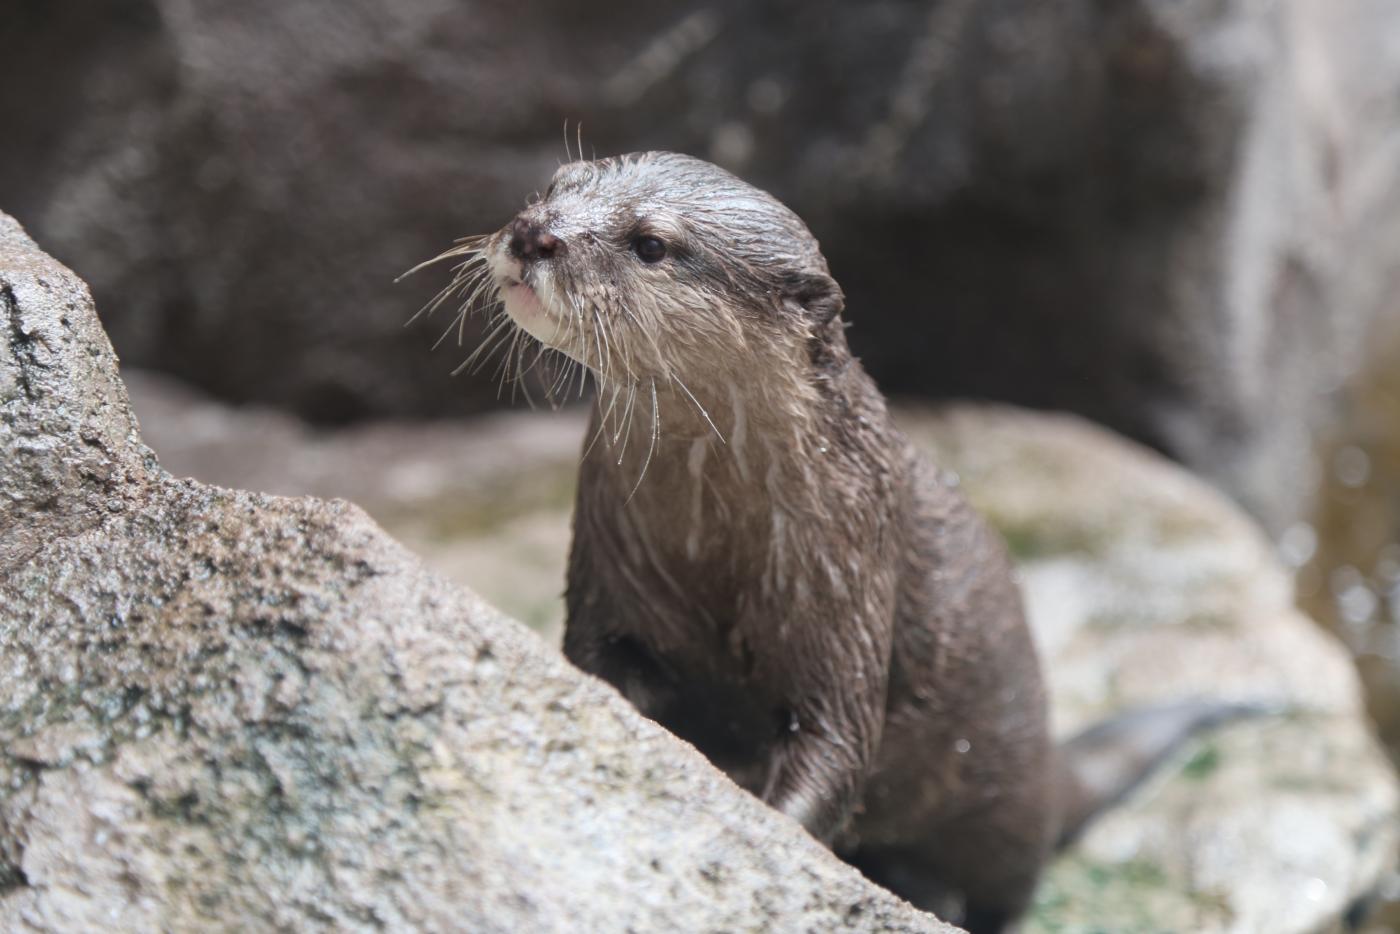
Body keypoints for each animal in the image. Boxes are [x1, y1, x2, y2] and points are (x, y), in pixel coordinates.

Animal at [416, 152, 1245, 932]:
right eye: (556, 185)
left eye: (651, 243)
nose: (535, 234)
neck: (715, 542)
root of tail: (1045, 756)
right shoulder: (611, 573)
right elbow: (601, 669)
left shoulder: (847, 587)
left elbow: (836, 747)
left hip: (1003, 814)